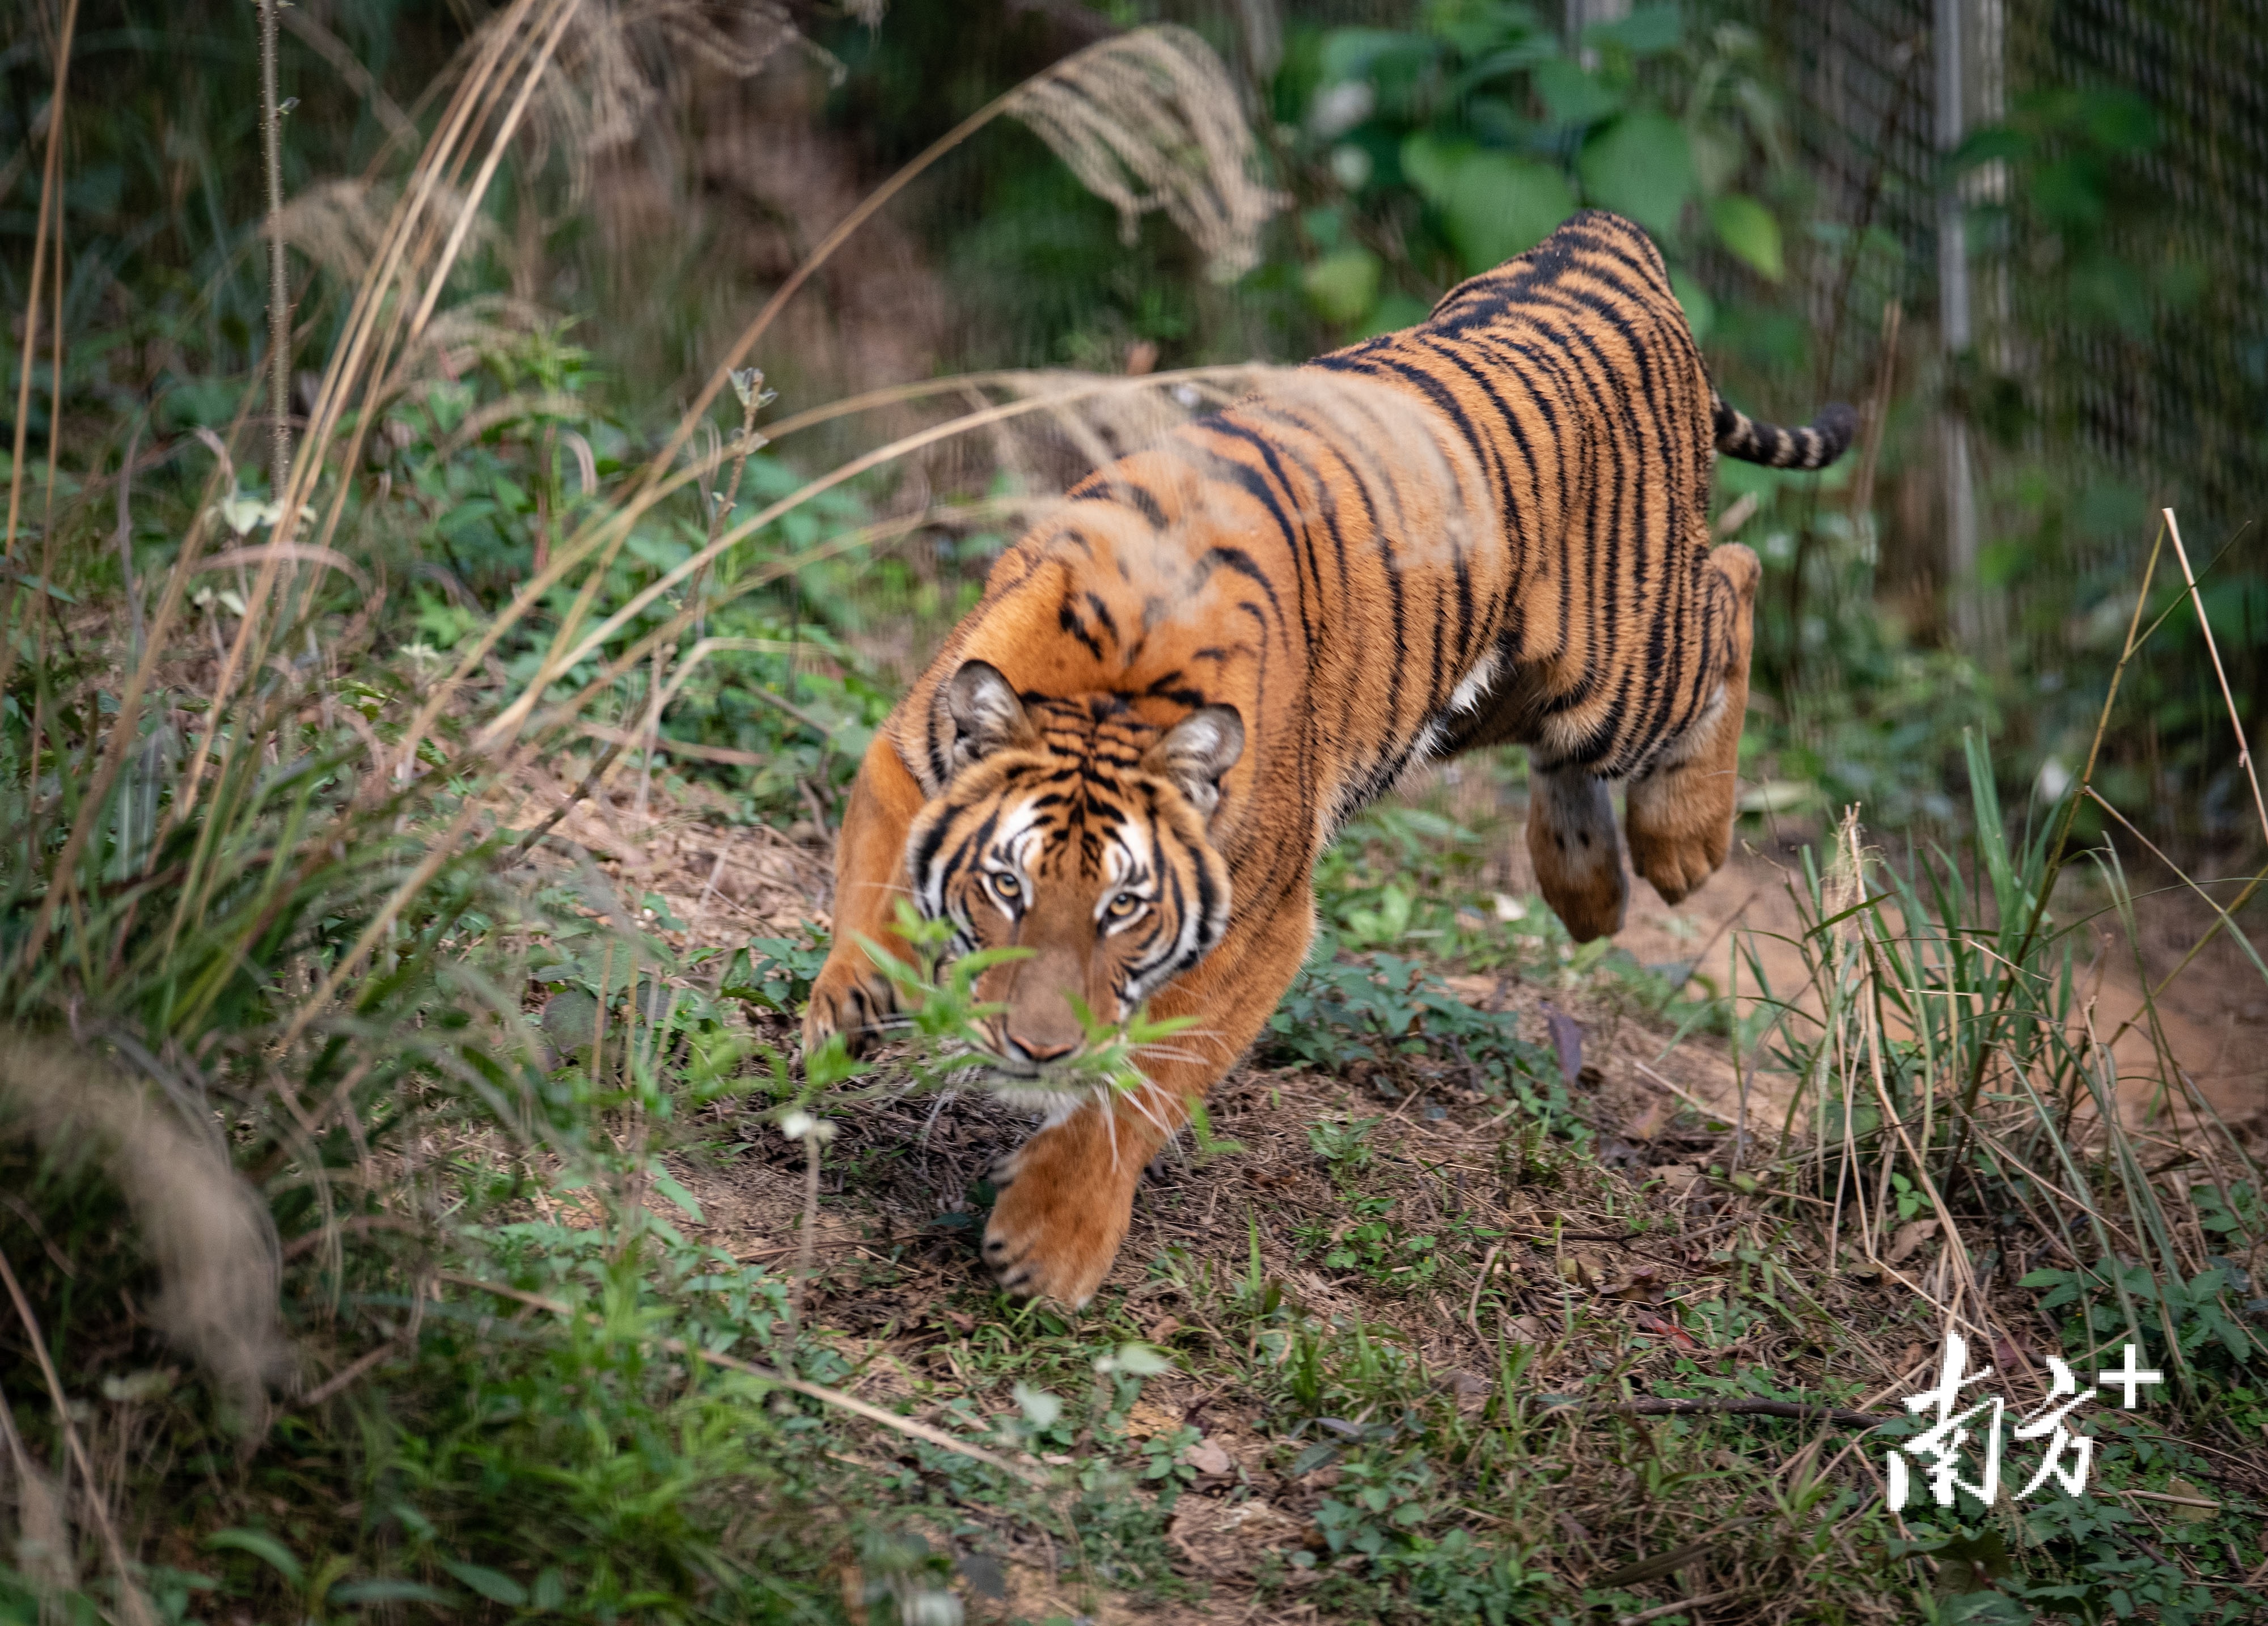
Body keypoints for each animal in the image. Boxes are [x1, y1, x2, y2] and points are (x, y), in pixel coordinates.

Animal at [807, 215, 1851, 1306]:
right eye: (1005, 885)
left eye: (1125, 906)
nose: (1038, 1047)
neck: (1112, 684)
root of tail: (1600, 236)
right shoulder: (904, 758)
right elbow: (870, 888)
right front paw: (849, 1004)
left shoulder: (1262, 924)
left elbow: (1140, 1090)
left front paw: (1051, 1242)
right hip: (1477, 684)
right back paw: (1588, 891)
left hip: (1623, 661)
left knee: (1737, 581)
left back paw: (1681, 843)